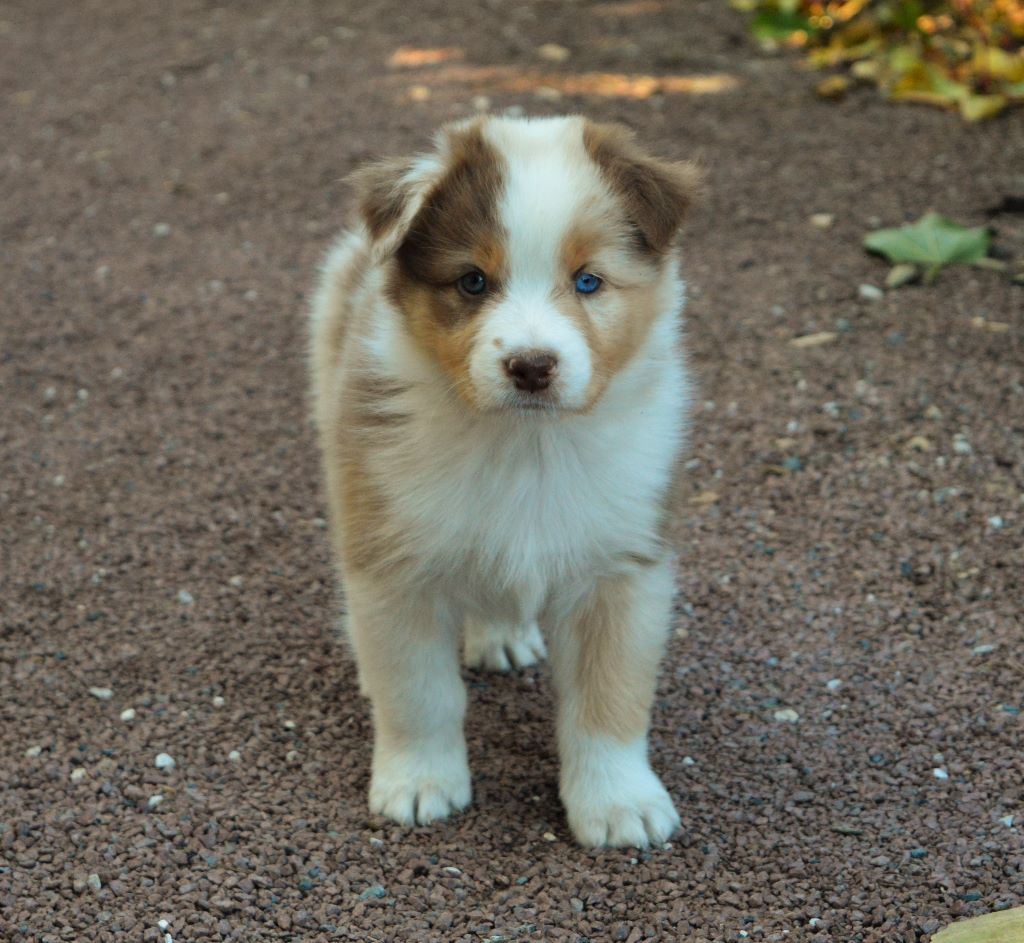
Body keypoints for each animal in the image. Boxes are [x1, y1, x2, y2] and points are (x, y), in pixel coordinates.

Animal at [307, 112, 700, 847]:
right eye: (471, 282)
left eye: (588, 281)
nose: (531, 365)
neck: (525, 444)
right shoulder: (393, 563)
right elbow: (420, 691)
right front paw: (419, 783)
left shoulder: (622, 570)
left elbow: (610, 699)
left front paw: (619, 804)